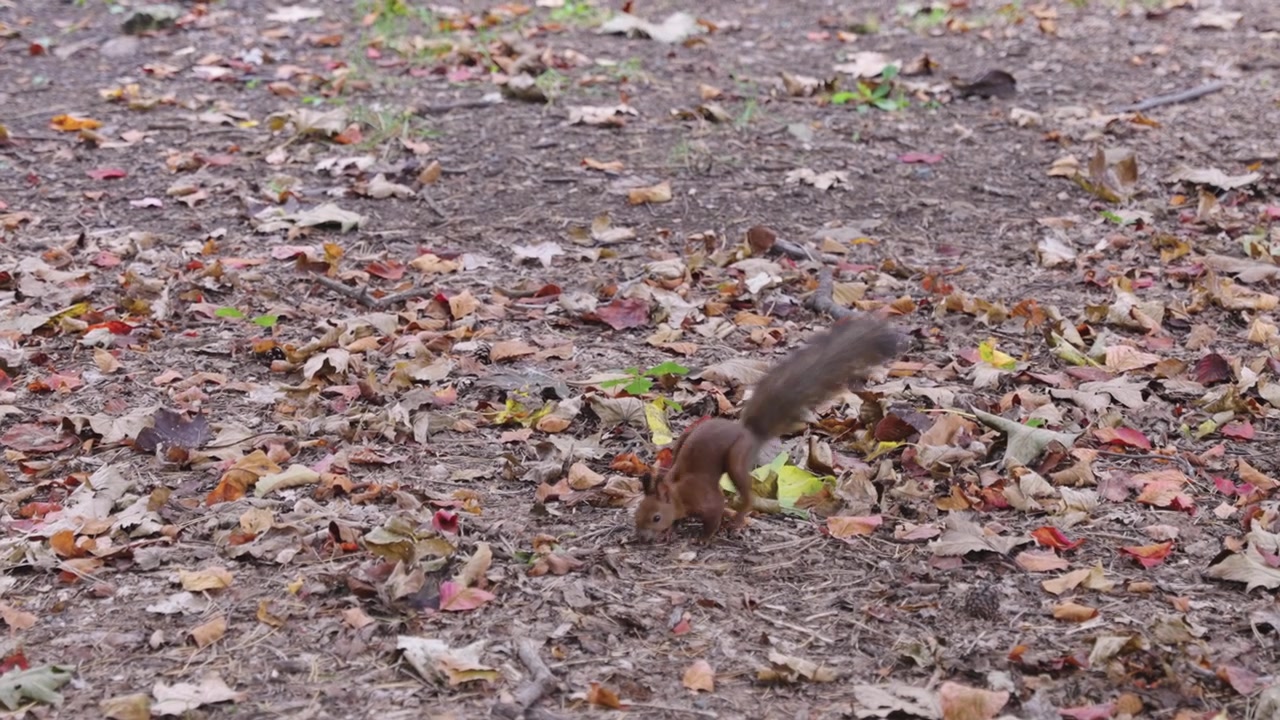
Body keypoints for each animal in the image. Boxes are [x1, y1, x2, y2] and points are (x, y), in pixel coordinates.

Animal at [634, 315, 903, 543]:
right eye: (637, 513)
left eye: (656, 517)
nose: (641, 537)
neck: (677, 493)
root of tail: (747, 431)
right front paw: (671, 530)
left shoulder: (703, 497)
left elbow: (715, 511)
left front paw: (704, 537)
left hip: (737, 456)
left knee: (747, 496)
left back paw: (737, 520)